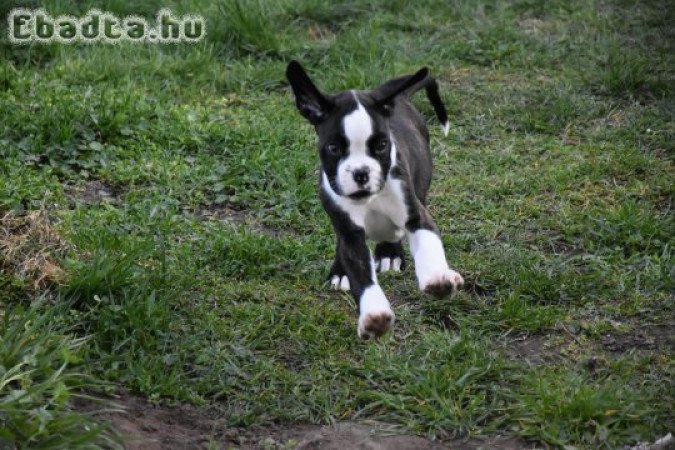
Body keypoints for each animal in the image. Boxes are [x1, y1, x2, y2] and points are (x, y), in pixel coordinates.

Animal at [286, 61, 464, 340]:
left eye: (382, 145)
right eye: (334, 148)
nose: (361, 173)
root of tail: (398, 97)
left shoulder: (417, 215)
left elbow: (428, 246)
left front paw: (437, 278)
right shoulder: (350, 233)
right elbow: (361, 275)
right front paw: (373, 313)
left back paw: (390, 253)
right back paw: (341, 272)